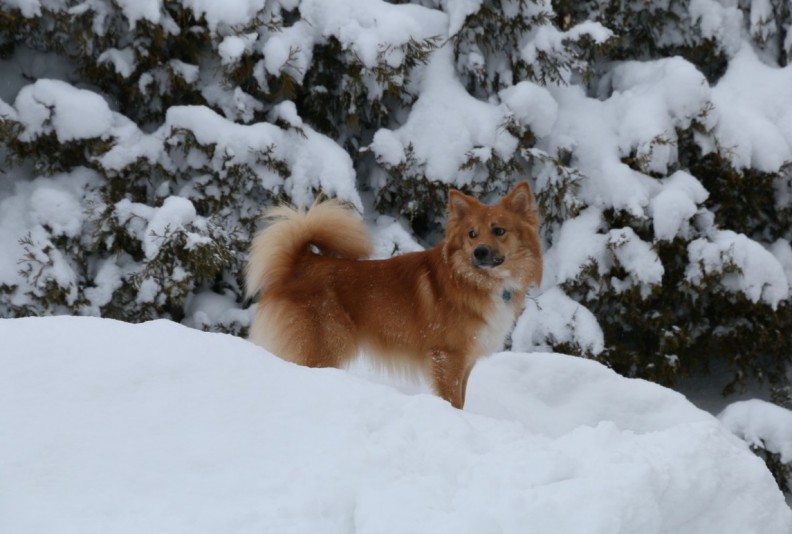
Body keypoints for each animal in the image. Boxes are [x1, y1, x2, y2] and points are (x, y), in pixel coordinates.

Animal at [246, 184, 544, 410]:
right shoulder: (448, 357)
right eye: (472, 234)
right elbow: (453, 401)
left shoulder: (466, 360)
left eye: (499, 230)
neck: (475, 281)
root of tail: (300, 263)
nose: (479, 252)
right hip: (325, 347)